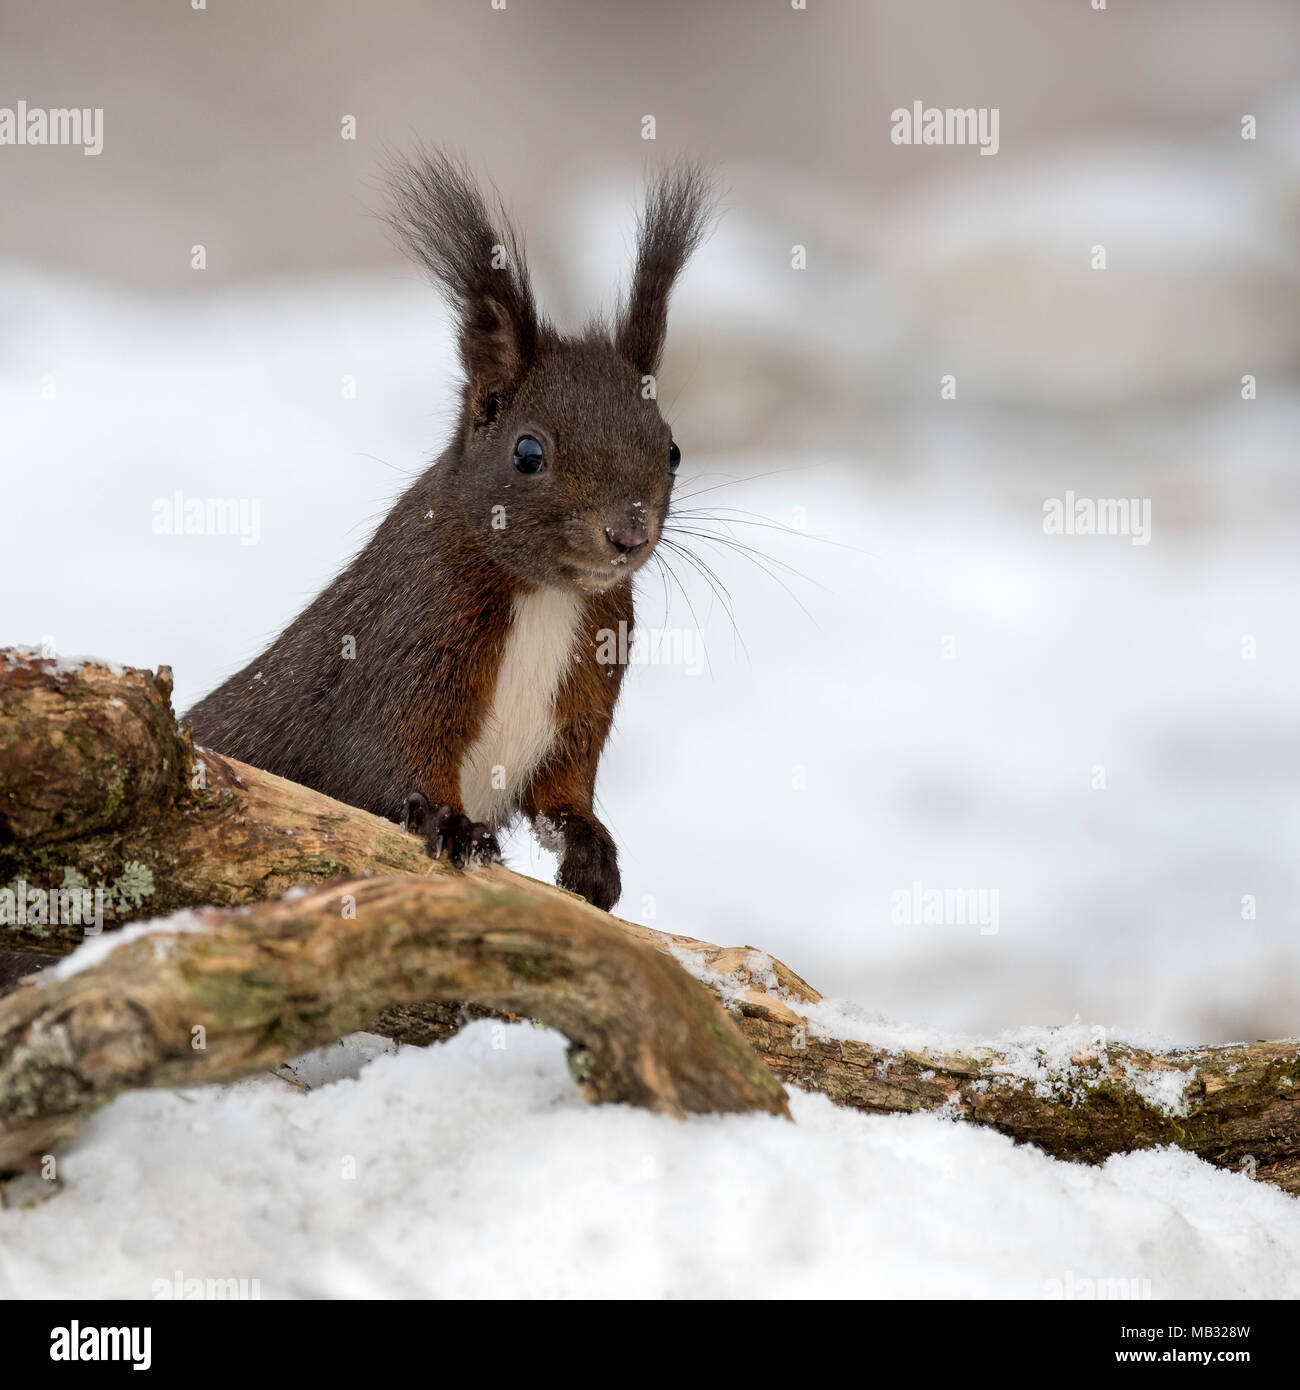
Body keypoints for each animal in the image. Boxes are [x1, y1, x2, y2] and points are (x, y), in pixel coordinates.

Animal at [184, 152, 717, 911]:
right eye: (528, 452)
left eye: (671, 451)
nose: (627, 535)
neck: (547, 595)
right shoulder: (407, 637)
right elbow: (381, 756)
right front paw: (449, 823)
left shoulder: (590, 678)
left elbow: (562, 791)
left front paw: (592, 852)